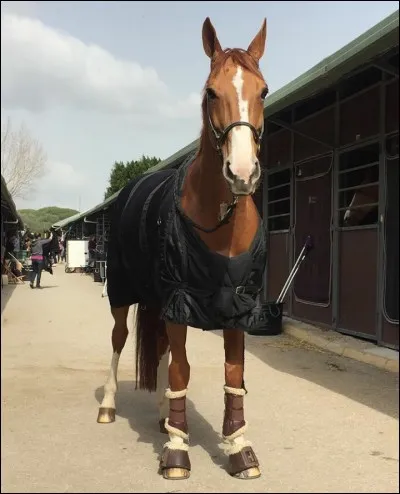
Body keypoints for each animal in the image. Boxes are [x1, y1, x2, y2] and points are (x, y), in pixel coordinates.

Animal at [97, 17, 268, 480]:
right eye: (211, 92)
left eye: (263, 91)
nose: (242, 173)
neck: (220, 223)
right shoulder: (179, 298)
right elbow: (180, 369)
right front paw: (177, 452)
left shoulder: (237, 305)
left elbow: (232, 373)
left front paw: (239, 448)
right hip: (123, 291)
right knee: (119, 339)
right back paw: (108, 406)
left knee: (158, 350)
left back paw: (162, 417)